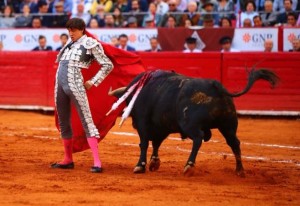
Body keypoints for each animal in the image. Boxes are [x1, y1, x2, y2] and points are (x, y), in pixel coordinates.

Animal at [108, 69, 278, 177]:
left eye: (127, 101)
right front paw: (154, 163)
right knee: (234, 143)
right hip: (228, 125)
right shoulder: (161, 127)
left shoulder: (143, 123)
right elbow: (156, 143)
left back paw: (189, 166)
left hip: (190, 125)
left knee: (198, 139)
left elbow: (144, 143)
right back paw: (240, 170)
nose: (127, 115)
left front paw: (140, 166)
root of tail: (215, 85)